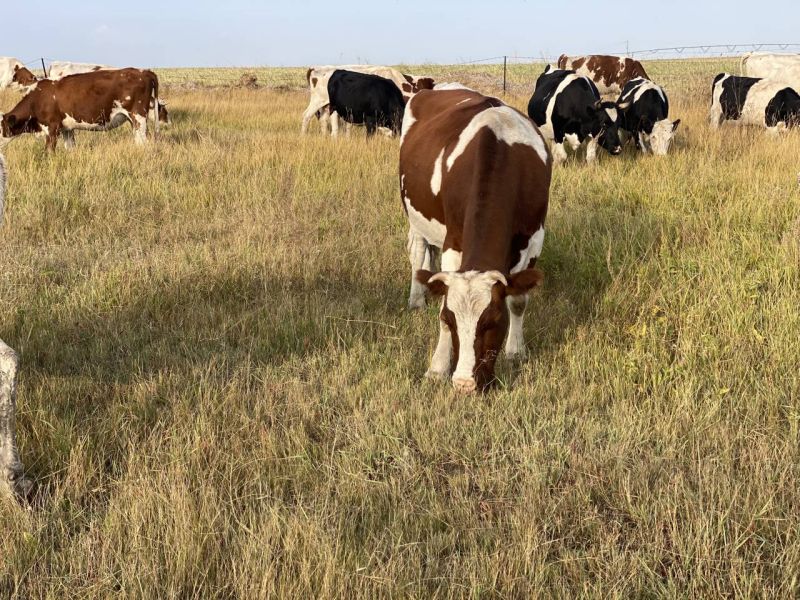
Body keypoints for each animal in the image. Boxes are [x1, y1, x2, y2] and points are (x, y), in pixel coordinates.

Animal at [0, 68, 162, 151]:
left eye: (1, 128)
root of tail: (144, 71)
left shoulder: (52, 128)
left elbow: (49, 151)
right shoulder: (66, 129)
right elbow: (70, 148)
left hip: (138, 116)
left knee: (142, 142)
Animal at [400, 89, 552, 396]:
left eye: (493, 321)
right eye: (451, 319)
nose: (464, 384)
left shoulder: (533, 239)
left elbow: (518, 301)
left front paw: (515, 351)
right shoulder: (454, 243)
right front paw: (437, 368)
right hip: (415, 215)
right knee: (418, 253)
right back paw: (416, 298)